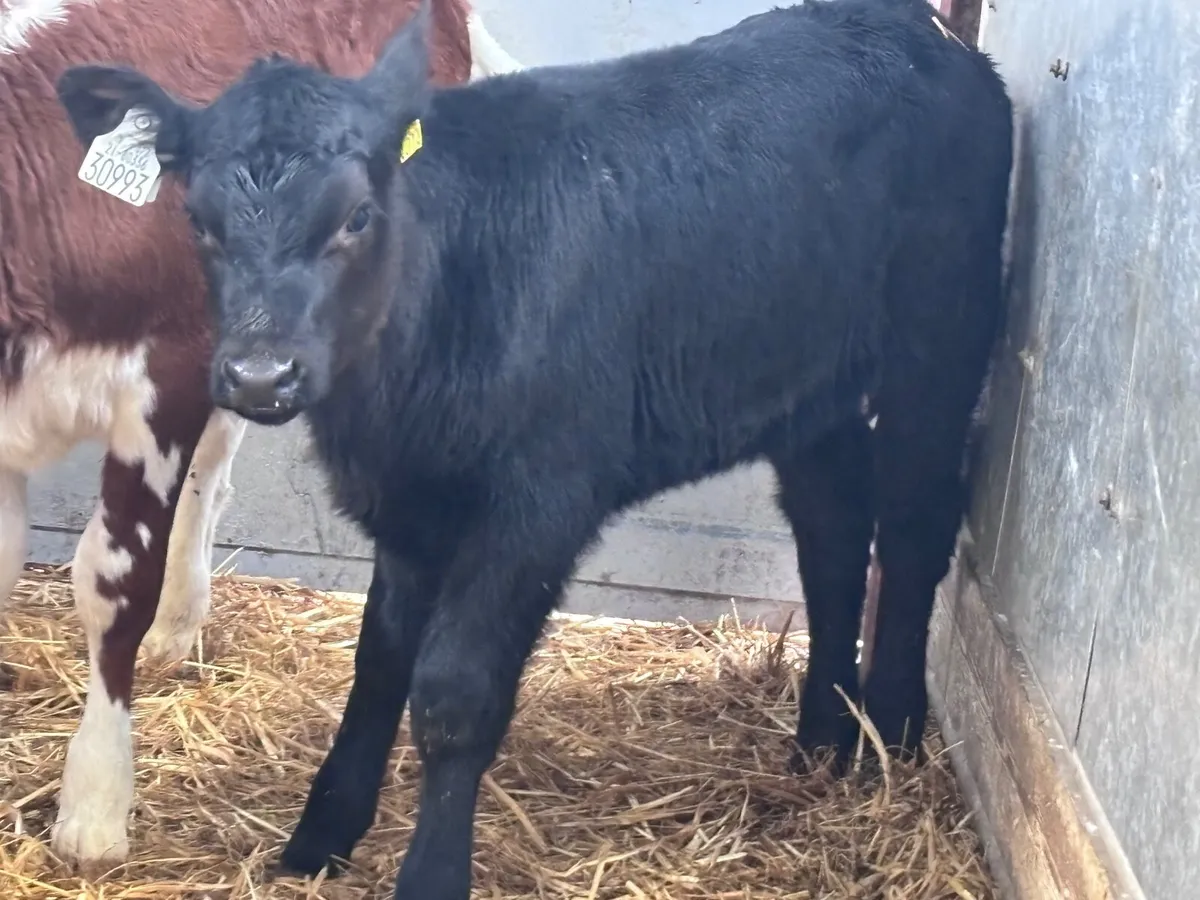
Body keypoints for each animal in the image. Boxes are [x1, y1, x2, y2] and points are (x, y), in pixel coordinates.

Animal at [54, 0, 1013, 895]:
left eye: (358, 216)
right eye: (198, 221)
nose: (260, 375)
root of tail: (909, 28)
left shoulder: (537, 502)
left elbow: (454, 692)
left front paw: (430, 874)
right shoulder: (408, 501)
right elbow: (380, 662)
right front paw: (321, 836)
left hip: (940, 331)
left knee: (916, 521)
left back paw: (893, 733)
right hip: (808, 382)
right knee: (833, 525)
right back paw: (822, 738)